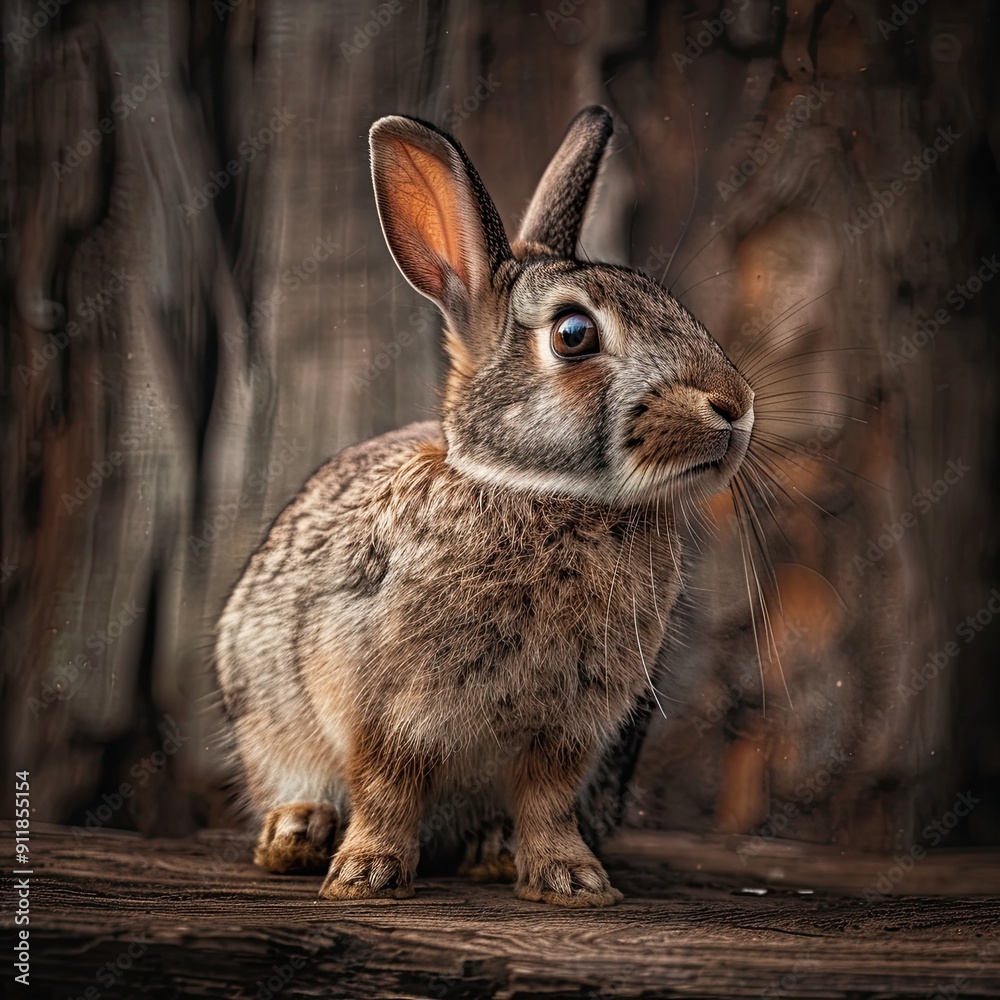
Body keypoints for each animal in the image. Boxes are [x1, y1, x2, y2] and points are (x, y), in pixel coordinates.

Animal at [215, 105, 755, 907]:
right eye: (574, 334)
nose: (734, 405)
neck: (537, 491)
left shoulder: (573, 728)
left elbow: (548, 803)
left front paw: (573, 882)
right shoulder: (377, 704)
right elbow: (386, 788)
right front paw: (365, 877)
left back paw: (493, 853)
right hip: (264, 720)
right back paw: (299, 836)